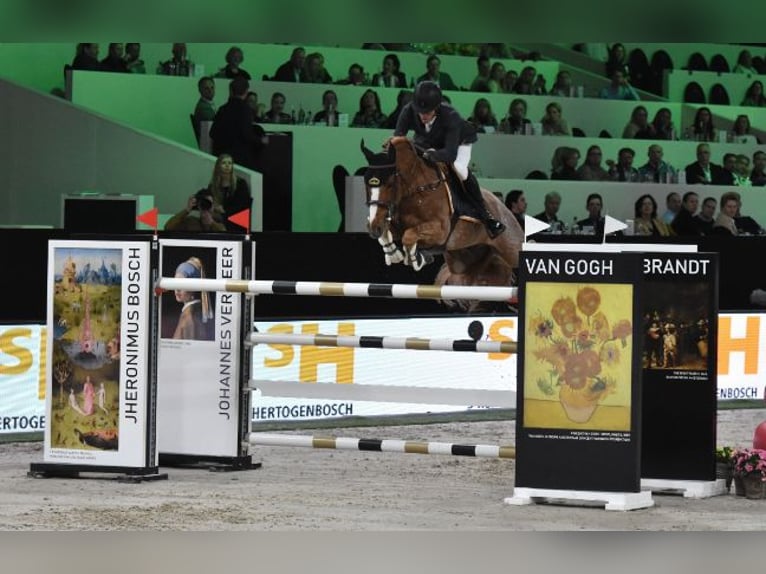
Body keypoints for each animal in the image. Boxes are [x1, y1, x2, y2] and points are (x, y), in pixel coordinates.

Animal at [364, 138, 524, 312]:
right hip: (462, 263)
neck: (414, 188)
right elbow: (387, 234)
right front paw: (395, 254)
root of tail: (505, 209)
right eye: (366, 183)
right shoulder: (394, 224)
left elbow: (409, 236)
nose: (373, 227)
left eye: (390, 184)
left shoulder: (439, 230)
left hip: (512, 249)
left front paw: (414, 258)